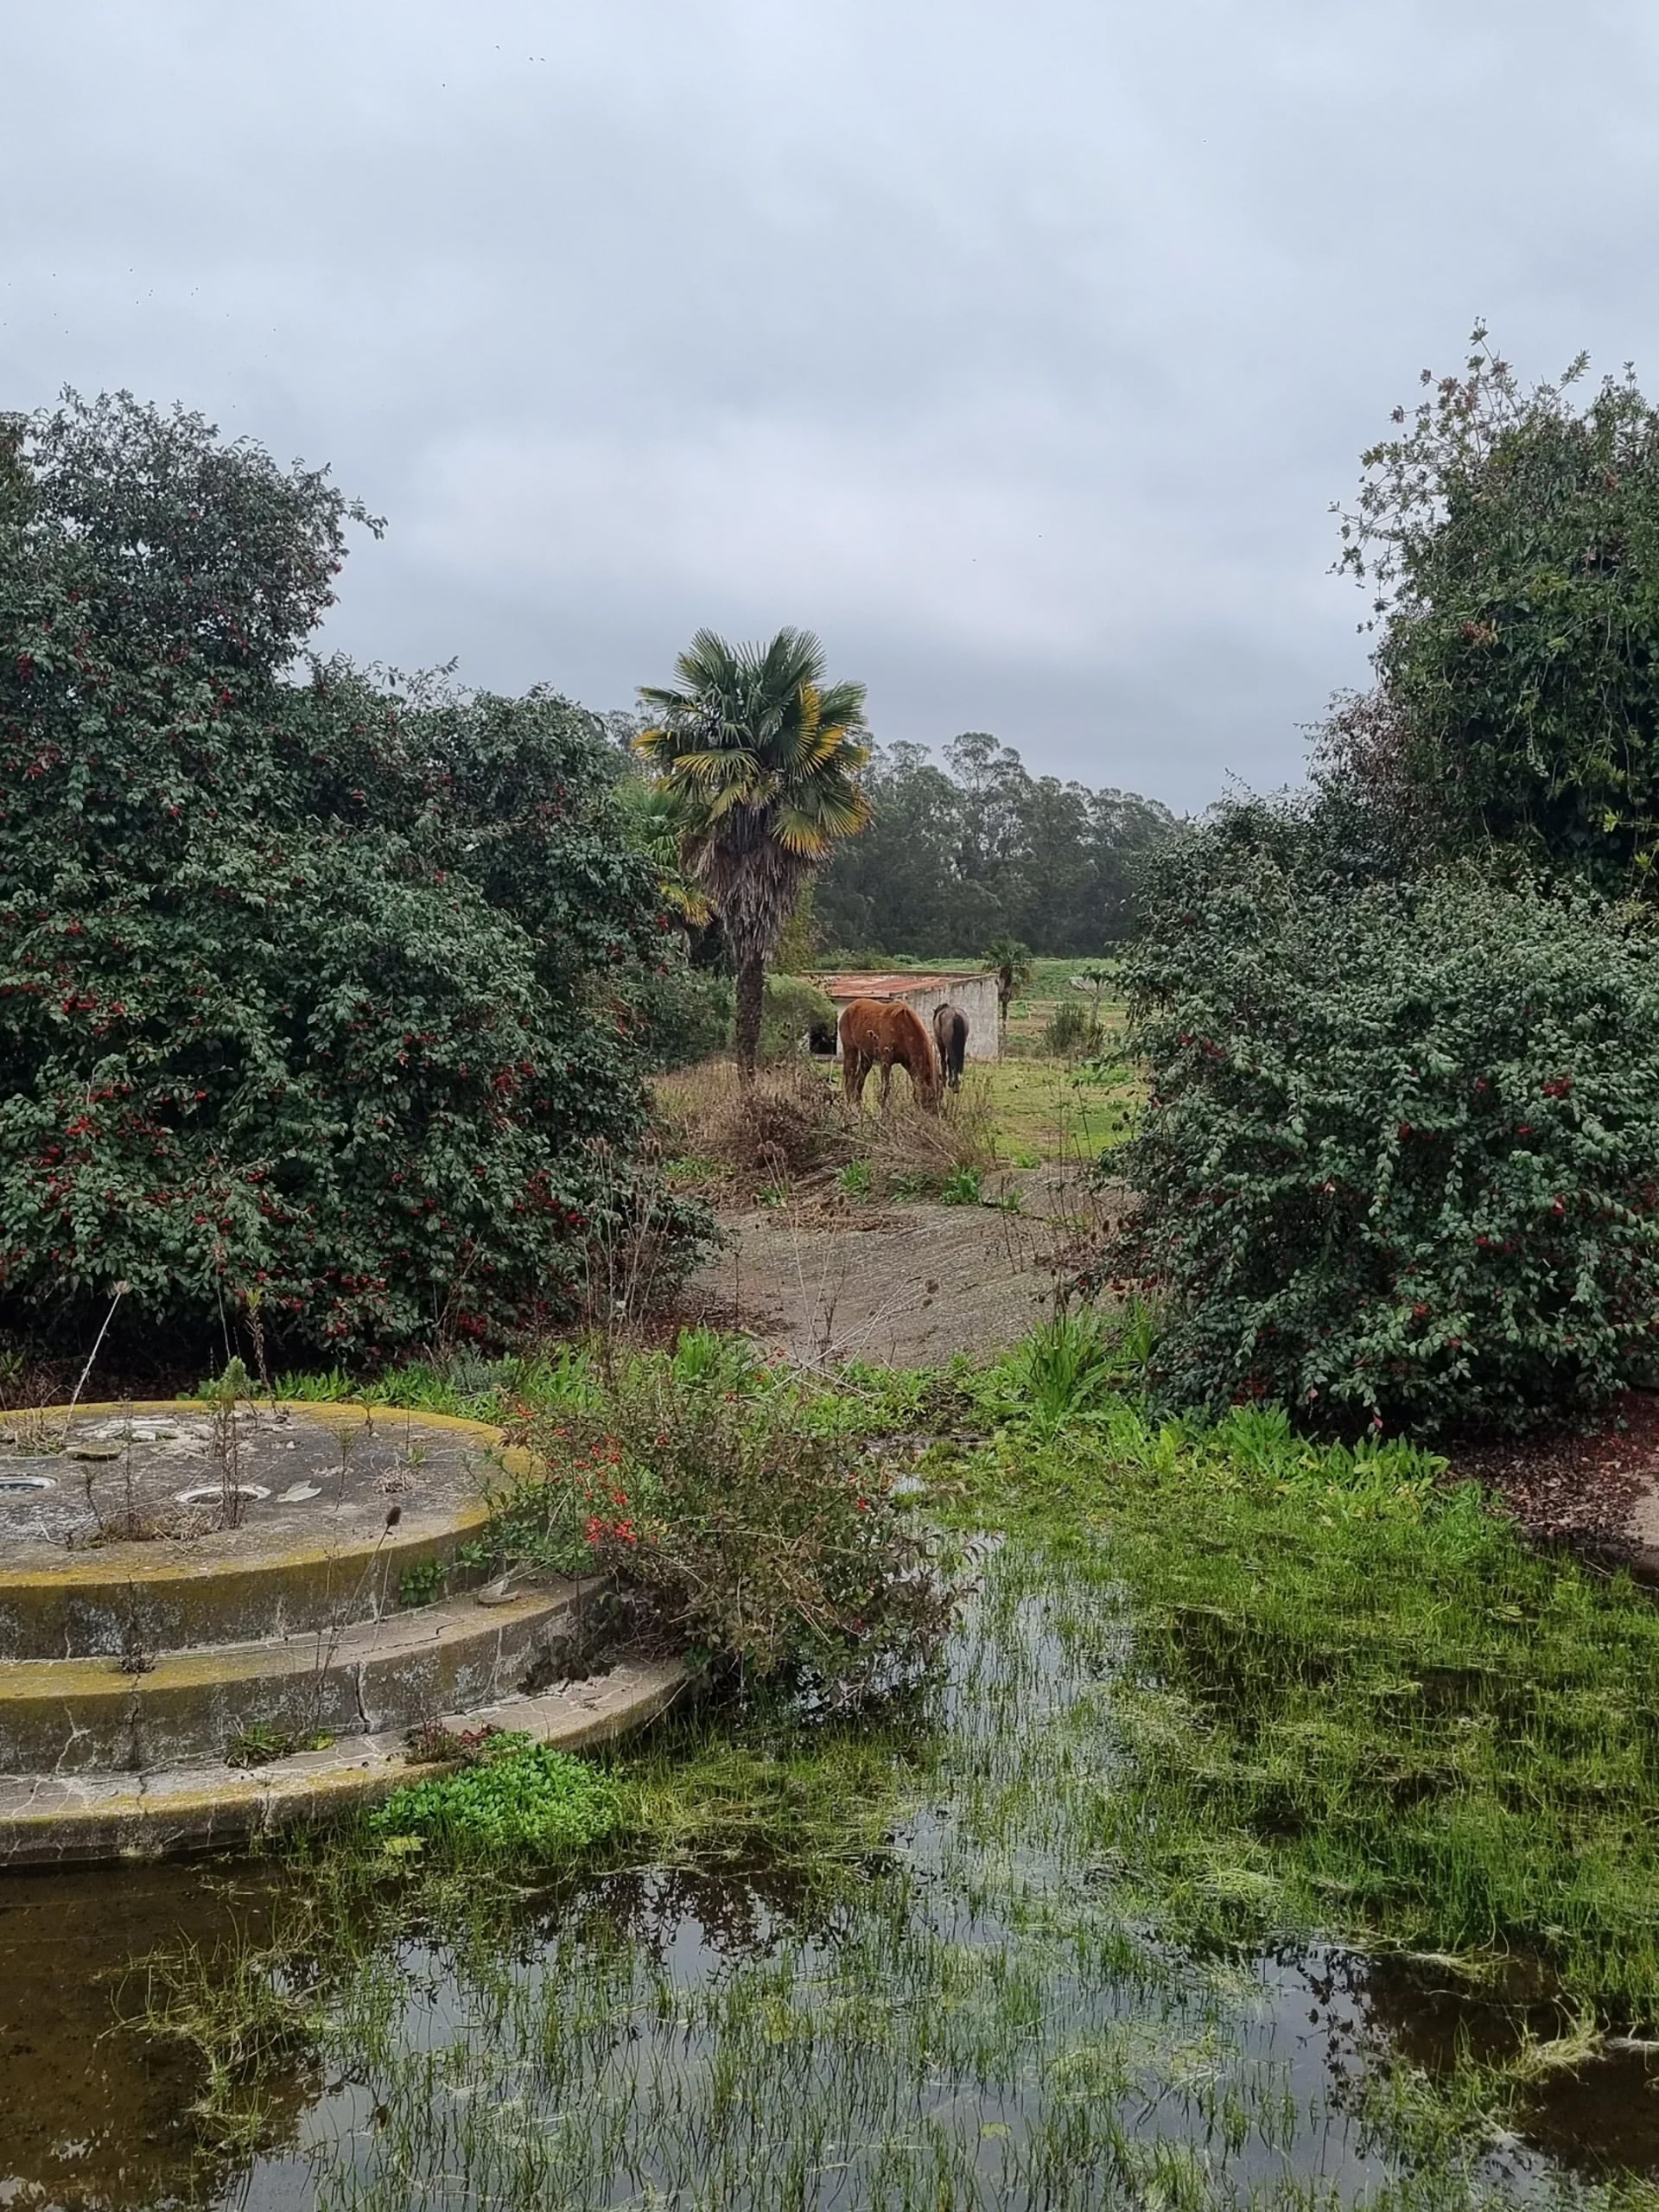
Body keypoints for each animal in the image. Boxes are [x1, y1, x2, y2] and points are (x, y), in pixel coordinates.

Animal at [839, 997, 941, 1111]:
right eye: (929, 1099)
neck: (901, 1028)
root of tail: (849, 1008)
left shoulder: (908, 1063)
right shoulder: (886, 1061)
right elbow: (885, 1089)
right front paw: (884, 1112)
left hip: (867, 1056)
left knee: (860, 1078)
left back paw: (858, 1107)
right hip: (851, 1050)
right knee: (849, 1077)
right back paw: (849, 1106)